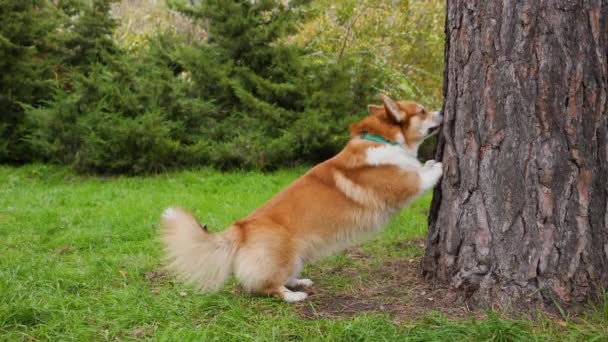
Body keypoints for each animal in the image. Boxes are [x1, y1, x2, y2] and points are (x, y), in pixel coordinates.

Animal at [162, 94, 444, 302]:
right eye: (422, 111)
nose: (442, 111)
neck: (384, 139)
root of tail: (241, 229)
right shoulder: (405, 186)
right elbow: (423, 175)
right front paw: (438, 164)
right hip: (285, 257)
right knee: (267, 287)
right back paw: (293, 295)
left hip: (297, 256)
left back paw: (299, 281)